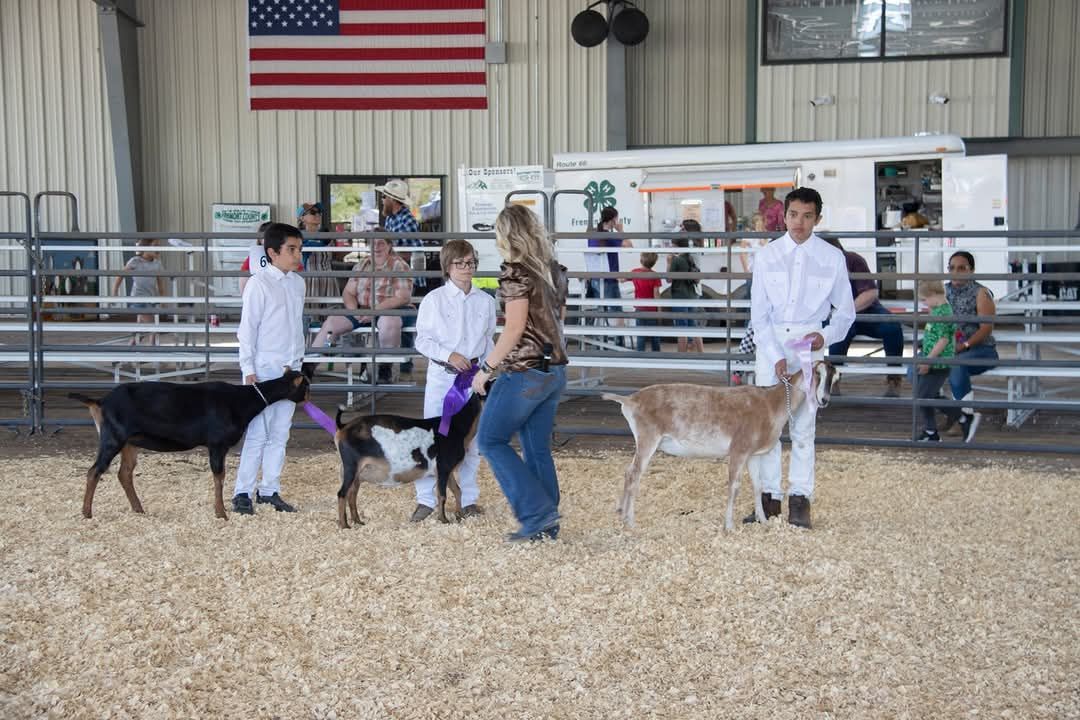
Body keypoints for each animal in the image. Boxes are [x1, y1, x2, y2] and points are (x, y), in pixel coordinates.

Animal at [70, 369, 311, 520]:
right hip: (113, 437)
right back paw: (87, 513)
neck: (243, 400)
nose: (309, 399)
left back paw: (139, 509)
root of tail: (101, 401)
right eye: (306, 387)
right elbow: (219, 477)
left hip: (130, 442)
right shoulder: (217, 443)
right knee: (95, 471)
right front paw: (221, 513)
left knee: (125, 473)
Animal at [328, 395, 481, 528]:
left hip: (356, 474)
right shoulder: (443, 467)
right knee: (342, 494)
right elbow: (442, 495)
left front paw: (460, 515)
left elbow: (457, 490)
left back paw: (358, 521)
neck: (457, 426)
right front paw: (444, 520)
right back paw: (344, 525)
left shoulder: (446, 471)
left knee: (352, 495)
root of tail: (343, 426)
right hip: (351, 466)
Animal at [604, 362, 838, 533]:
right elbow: (734, 487)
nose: (824, 400)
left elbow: (758, 486)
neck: (771, 404)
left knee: (628, 472)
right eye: (817, 374)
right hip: (648, 438)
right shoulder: (738, 450)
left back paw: (621, 514)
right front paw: (729, 526)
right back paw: (631, 522)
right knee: (635, 475)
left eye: (834, 380)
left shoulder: (752, 454)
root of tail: (629, 400)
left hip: (642, 441)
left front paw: (763, 520)